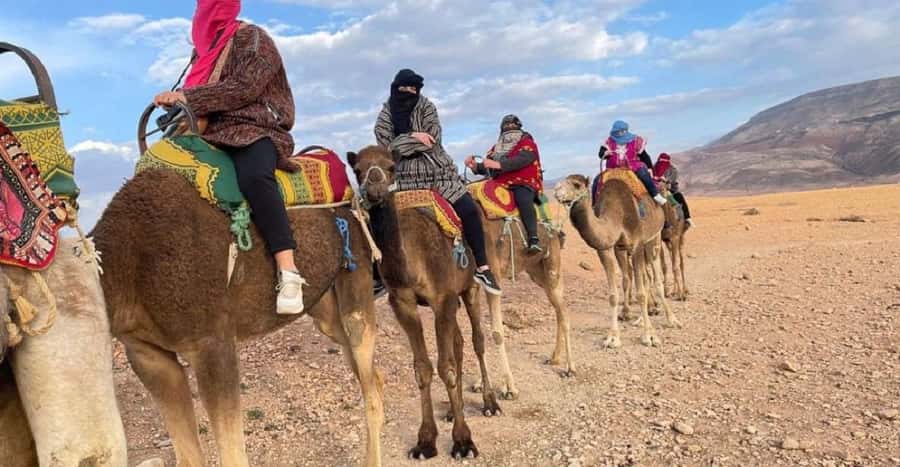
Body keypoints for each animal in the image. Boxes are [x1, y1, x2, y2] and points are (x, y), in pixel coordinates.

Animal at [91, 168, 384, 467]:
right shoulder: (146, 354)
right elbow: (189, 456)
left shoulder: (212, 343)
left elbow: (232, 454)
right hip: (323, 305)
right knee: (370, 374)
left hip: (356, 272)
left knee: (366, 369)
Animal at [347, 146, 500, 460]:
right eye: (357, 170)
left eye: (391, 166)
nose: (375, 189)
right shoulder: (403, 304)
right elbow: (423, 369)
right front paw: (426, 441)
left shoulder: (443, 298)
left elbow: (446, 367)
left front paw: (463, 441)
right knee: (459, 342)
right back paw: (455, 410)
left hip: (468, 289)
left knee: (477, 340)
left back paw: (490, 402)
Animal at [554, 174, 680, 348]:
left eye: (577, 184)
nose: (556, 191)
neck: (617, 214)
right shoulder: (609, 248)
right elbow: (614, 294)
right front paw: (613, 337)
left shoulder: (637, 244)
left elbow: (640, 293)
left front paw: (650, 336)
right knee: (643, 278)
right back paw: (641, 319)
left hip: (654, 238)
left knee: (656, 279)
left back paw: (671, 319)